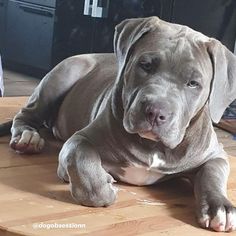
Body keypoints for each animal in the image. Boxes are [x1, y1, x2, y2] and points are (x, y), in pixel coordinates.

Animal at [1, 16, 236, 232]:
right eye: (145, 65)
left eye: (193, 83)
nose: (155, 112)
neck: (153, 146)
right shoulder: (80, 139)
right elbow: (80, 159)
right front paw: (105, 189)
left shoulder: (215, 154)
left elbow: (212, 173)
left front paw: (220, 207)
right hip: (63, 74)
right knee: (25, 115)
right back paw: (27, 138)